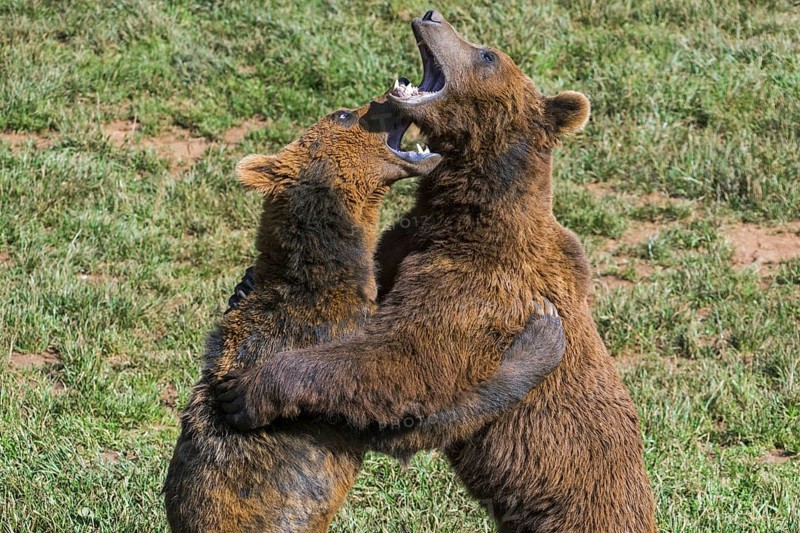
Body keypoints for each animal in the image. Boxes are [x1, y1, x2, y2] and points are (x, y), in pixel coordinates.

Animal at [213, 10, 656, 532]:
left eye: (486, 54)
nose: (432, 16)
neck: (463, 215)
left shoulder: (480, 288)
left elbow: (404, 359)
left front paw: (247, 389)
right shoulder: (407, 245)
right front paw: (245, 285)